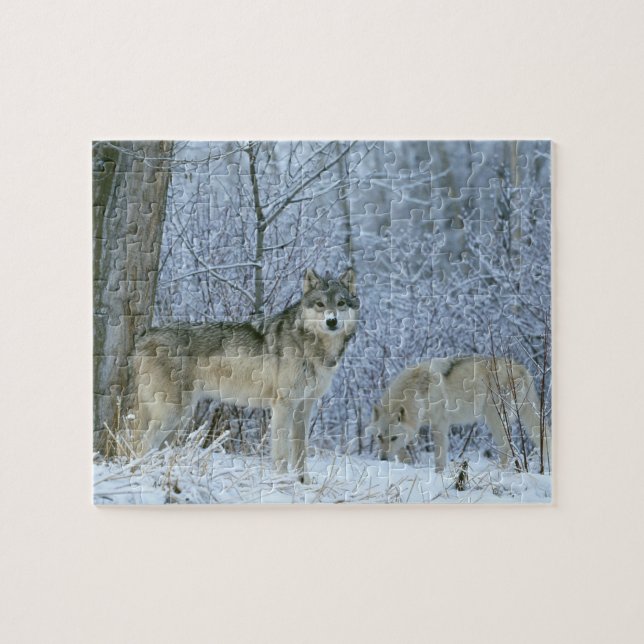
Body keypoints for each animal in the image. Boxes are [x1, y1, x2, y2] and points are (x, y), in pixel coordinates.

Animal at [132, 268, 359, 482]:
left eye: (340, 303)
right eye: (320, 304)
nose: (331, 321)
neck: (311, 346)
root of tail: (144, 336)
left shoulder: (304, 407)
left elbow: (301, 452)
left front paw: (303, 483)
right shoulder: (283, 406)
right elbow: (282, 454)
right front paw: (282, 483)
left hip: (181, 418)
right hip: (172, 415)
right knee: (141, 445)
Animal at [369, 355, 548, 471]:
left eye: (393, 438)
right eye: (379, 437)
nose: (382, 459)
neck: (418, 392)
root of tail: (520, 367)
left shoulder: (439, 425)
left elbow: (439, 457)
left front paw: (438, 475)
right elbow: (402, 452)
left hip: (495, 419)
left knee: (507, 450)